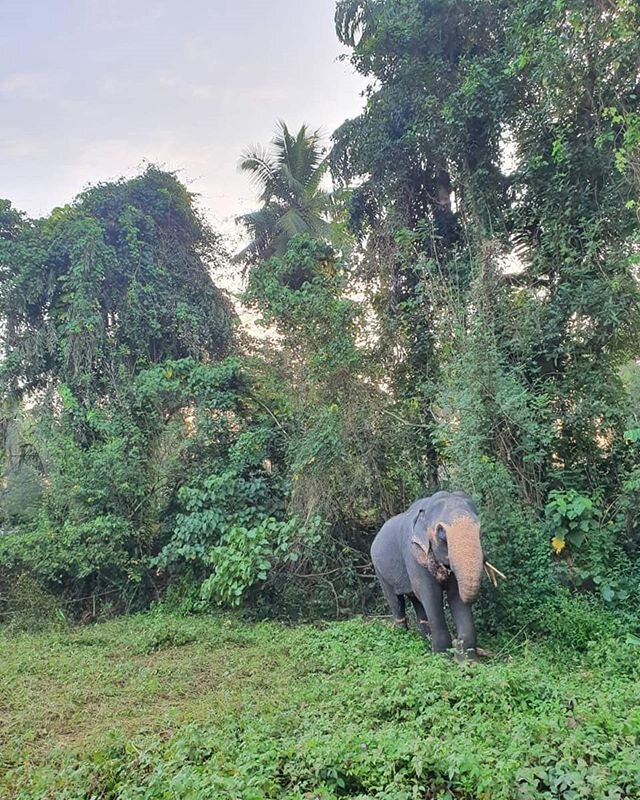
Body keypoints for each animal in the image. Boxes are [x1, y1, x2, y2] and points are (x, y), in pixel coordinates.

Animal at [370, 490, 484, 660]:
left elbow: (455, 595)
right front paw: (441, 657)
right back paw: (401, 636)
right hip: (380, 571)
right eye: (441, 532)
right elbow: (430, 594)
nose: (457, 642)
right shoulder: (412, 553)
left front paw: (467, 661)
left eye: (479, 527)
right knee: (395, 601)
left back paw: (425, 640)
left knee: (416, 601)